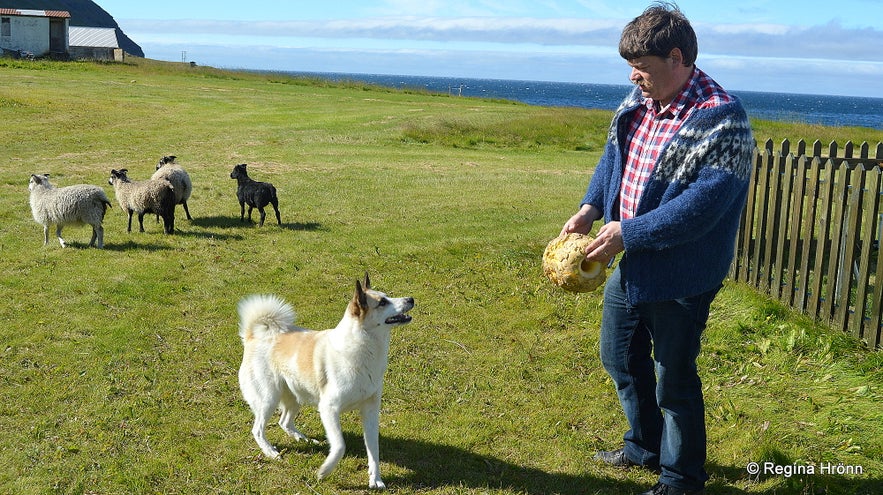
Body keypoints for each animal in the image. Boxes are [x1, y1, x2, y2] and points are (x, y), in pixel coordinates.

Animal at [235, 274, 414, 490]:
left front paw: (376, 479)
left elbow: (374, 450)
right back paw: (270, 452)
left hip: (295, 397)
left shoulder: (370, 410)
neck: (363, 347)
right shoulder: (329, 408)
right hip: (269, 398)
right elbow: (340, 446)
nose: (411, 299)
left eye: (386, 297)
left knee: (284, 421)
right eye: (382, 302)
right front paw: (324, 471)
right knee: (258, 430)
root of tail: (253, 336)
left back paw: (303, 439)